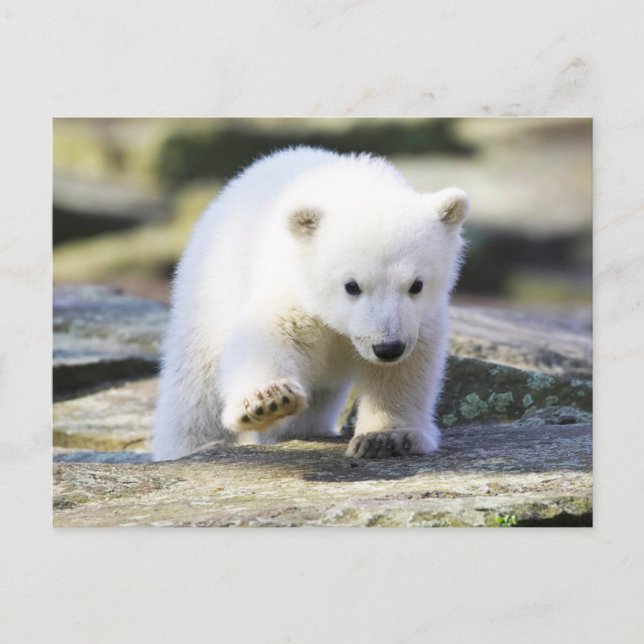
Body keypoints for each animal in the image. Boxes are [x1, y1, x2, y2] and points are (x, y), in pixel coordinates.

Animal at [151, 146, 469, 461]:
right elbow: (269, 333)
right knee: (195, 383)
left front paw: (386, 437)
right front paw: (268, 401)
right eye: (351, 285)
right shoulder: (295, 286)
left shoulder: (419, 320)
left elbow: (405, 370)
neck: (355, 186)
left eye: (416, 284)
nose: (388, 348)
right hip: (210, 289)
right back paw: (193, 446)